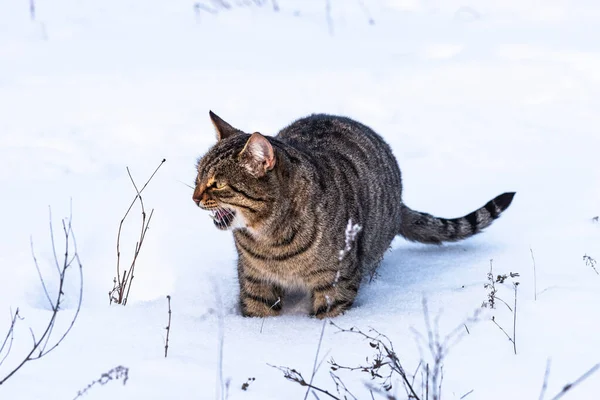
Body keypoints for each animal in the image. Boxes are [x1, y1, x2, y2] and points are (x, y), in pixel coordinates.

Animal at [193, 111, 516, 318]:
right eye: (197, 175)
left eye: (217, 183)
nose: (194, 197)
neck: (271, 239)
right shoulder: (254, 279)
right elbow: (258, 311)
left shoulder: (336, 280)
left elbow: (329, 314)